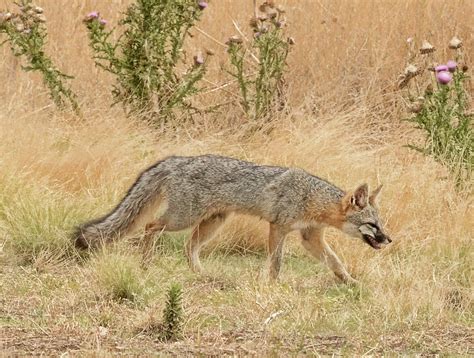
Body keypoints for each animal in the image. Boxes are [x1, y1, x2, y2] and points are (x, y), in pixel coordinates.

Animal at [75, 154, 392, 282]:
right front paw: (273, 284)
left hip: (211, 223)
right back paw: (145, 263)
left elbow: (335, 262)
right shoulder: (278, 227)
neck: (311, 198)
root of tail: (178, 159)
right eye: (372, 225)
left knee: (189, 248)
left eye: (382, 224)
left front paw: (350, 282)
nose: (389, 239)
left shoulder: (309, 237)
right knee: (151, 227)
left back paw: (202, 274)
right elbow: (276, 262)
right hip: (181, 218)